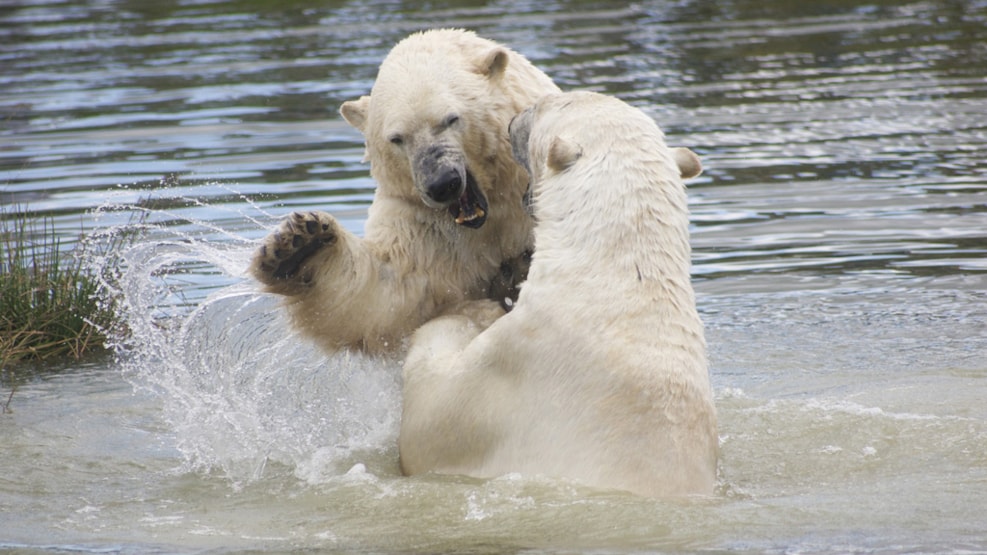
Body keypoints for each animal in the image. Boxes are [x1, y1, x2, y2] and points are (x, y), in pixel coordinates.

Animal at [247, 28, 560, 354]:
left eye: (451, 119)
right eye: (397, 138)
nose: (441, 184)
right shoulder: (427, 228)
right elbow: (387, 292)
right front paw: (298, 246)